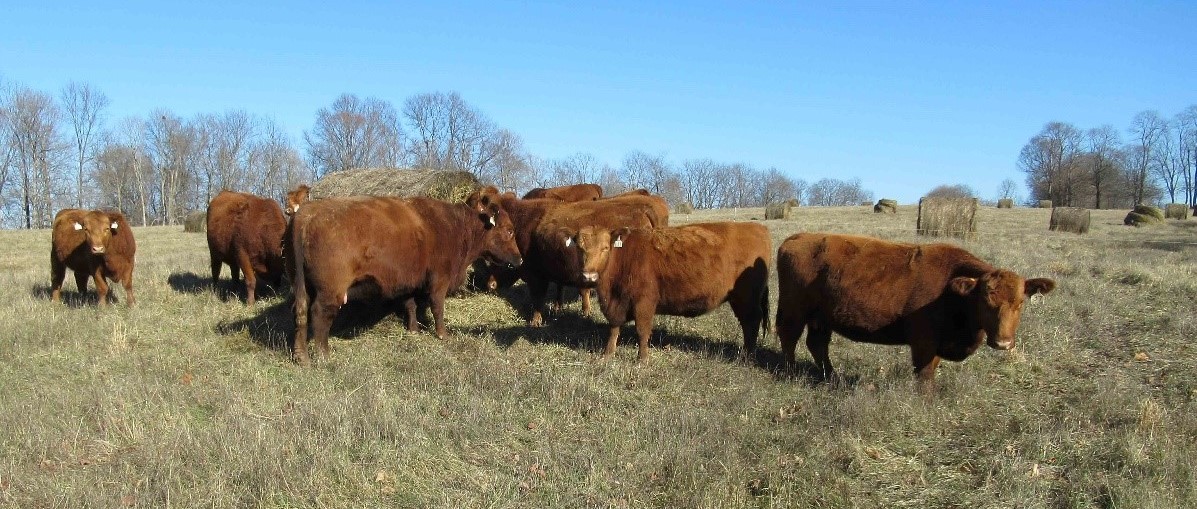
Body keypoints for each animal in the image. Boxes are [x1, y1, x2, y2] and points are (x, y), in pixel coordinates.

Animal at [289, 186, 524, 364]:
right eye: (510, 230)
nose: (520, 259)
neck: (454, 225)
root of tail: (307, 212)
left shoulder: (409, 281)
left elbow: (410, 305)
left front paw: (414, 331)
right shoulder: (440, 279)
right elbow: (437, 307)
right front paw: (442, 334)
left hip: (303, 288)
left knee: (300, 313)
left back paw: (302, 357)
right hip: (331, 291)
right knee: (320, 314)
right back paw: (323, 355)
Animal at [572, 222, 775, 361]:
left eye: (605, 248)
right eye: (580, 248)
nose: (589, 276)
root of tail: (757, 227)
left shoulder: (644, 302)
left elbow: (642, 330)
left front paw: (642, 359)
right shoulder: (616, 305)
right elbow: (614, 328)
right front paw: (607, 354)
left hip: (747, 298)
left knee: (751, 322)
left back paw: (747, 356)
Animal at [775, 232, 1058, 383]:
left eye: (1020, 302)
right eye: (985, 301)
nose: (1002, 342)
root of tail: (796, 238)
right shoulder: (924, 340)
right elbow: (924, 374)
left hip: (820, 317)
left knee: (817, 344)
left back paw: (830, 376)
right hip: (794, 311)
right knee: (789, 338)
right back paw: (790, 373)